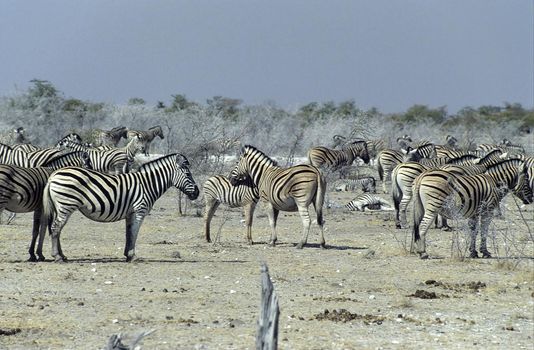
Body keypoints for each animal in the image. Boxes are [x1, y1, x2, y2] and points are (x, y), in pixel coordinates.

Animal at [38, 154, 200, 262]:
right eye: (187, 174)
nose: (197, 193)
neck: (147, 184)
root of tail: (53, 175)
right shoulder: (139, 211)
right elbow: (134, 233)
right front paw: (133, 256)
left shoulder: (130, 213)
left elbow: (128, 233)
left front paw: (127, 255)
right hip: (66, 205)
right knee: (56, 228)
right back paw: (57, 257)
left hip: (60, 206)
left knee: (56, 229)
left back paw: (62, 255)